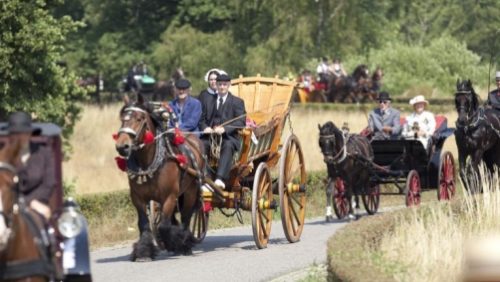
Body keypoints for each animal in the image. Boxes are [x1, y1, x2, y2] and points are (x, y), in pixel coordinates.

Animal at [114, 93, 204, 262]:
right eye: (122, 118)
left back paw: (184, 244)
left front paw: (175, 243)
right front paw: (143, 252)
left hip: (190, 191)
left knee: (186, 217)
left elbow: (164, 225)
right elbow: (144, 224)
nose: (122, 146)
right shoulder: (138, 198)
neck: (149, 162)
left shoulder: (169, 196)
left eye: (139, 118)